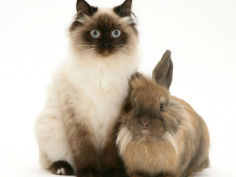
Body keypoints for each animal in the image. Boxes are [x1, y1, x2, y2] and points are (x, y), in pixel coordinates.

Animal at [34, 0, 139, 176]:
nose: (106, 44)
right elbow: (84, 149)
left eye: (115, 33)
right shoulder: (79, 115)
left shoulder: (115, 117)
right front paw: (88, 172)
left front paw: (112, 172)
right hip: (51, 128)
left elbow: (110, 151)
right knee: (49, 160)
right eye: (95, 34)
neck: (102, 71)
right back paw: (62, 168)